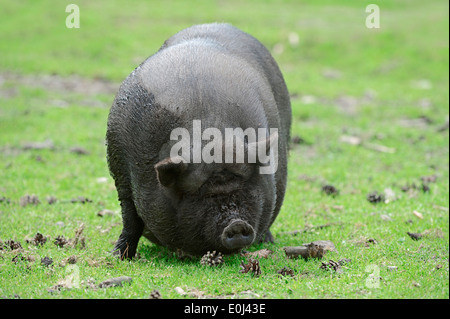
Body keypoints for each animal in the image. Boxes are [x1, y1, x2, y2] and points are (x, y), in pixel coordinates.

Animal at [107, 24, 294, 260]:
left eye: (245, 187)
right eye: (200, 195)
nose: (237, 224)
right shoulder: (122, 175)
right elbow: (130, 218)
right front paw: (119, 256)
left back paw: (267, 241)